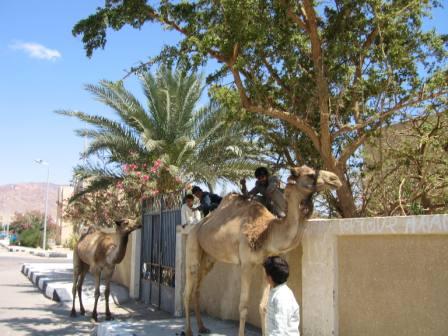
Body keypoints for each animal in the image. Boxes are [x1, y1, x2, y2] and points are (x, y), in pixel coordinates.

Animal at [184, 166, 342, 336]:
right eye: (310, 174)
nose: (335, 179)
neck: (266, 232)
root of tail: (198, 225)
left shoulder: (265, 264)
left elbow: (263, 306)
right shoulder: (246, 264)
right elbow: (243, 306)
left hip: (209, 258)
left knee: (197, 289)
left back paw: (202, 327)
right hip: (192, 243)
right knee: (187, 290)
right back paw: (189, 331)